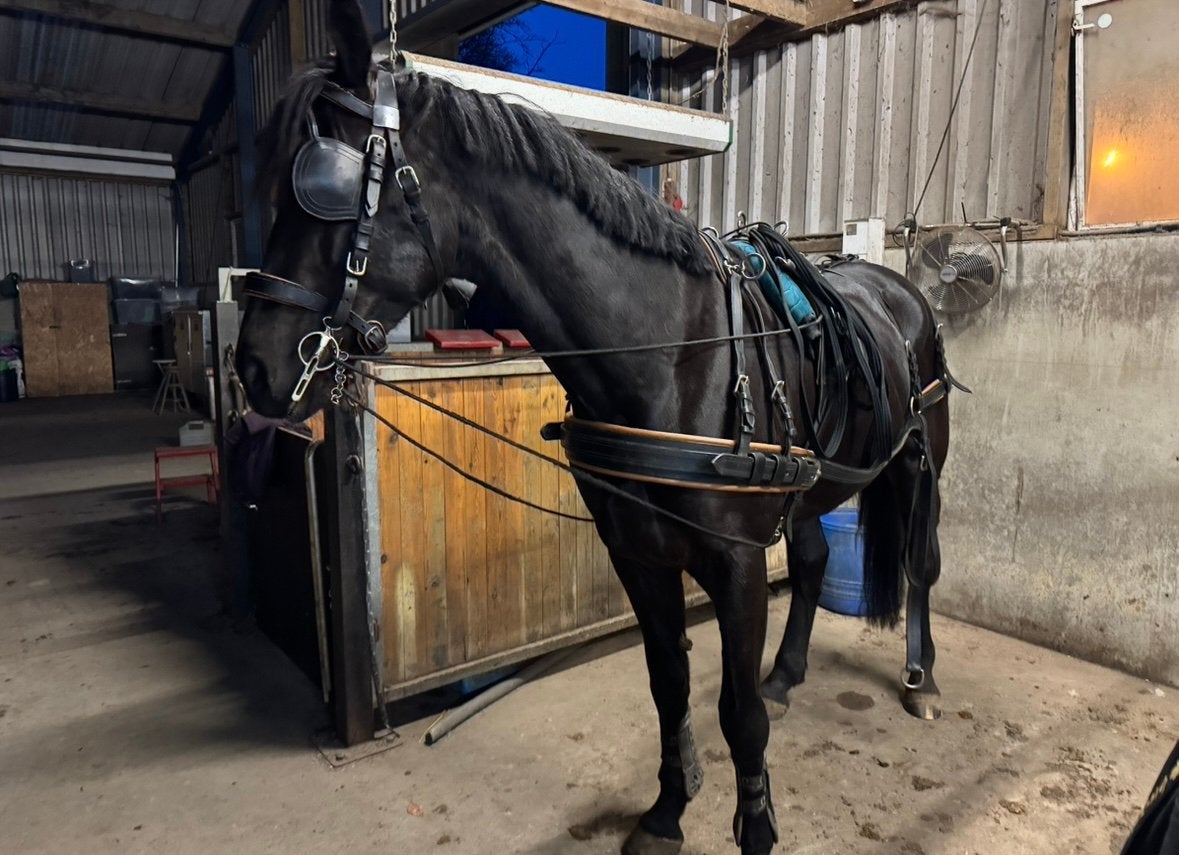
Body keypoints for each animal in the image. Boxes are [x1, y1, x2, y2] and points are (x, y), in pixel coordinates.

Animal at [234, 3, 955, 853]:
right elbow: (668, 683)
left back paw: (920, 679)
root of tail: (895, 287)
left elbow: (736, 713)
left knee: (919, 564)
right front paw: (668, 808)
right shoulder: (636, 553)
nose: (252, 368)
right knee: (811, 559)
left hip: (922, 461)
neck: (672, 349)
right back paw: (786, 672)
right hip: (808, 488)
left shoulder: (737, 561)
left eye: (323, 189)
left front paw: (754, 825)